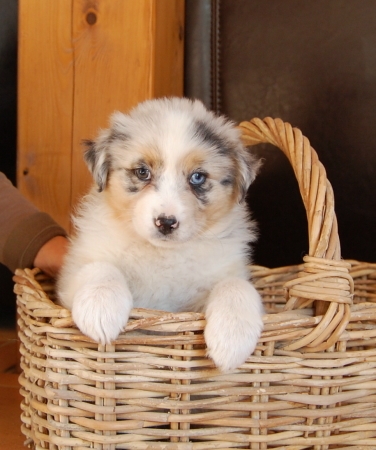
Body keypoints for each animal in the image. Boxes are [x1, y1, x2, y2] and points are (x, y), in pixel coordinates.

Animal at [58, 96, 264, 370]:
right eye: (142, 172)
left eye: (197, 177)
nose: (166, 223)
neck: (162, 254)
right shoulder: (72, 274)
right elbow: (100, 268)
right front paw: (100, 310)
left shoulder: (221, 274)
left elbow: (236, 285)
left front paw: (233, 338)